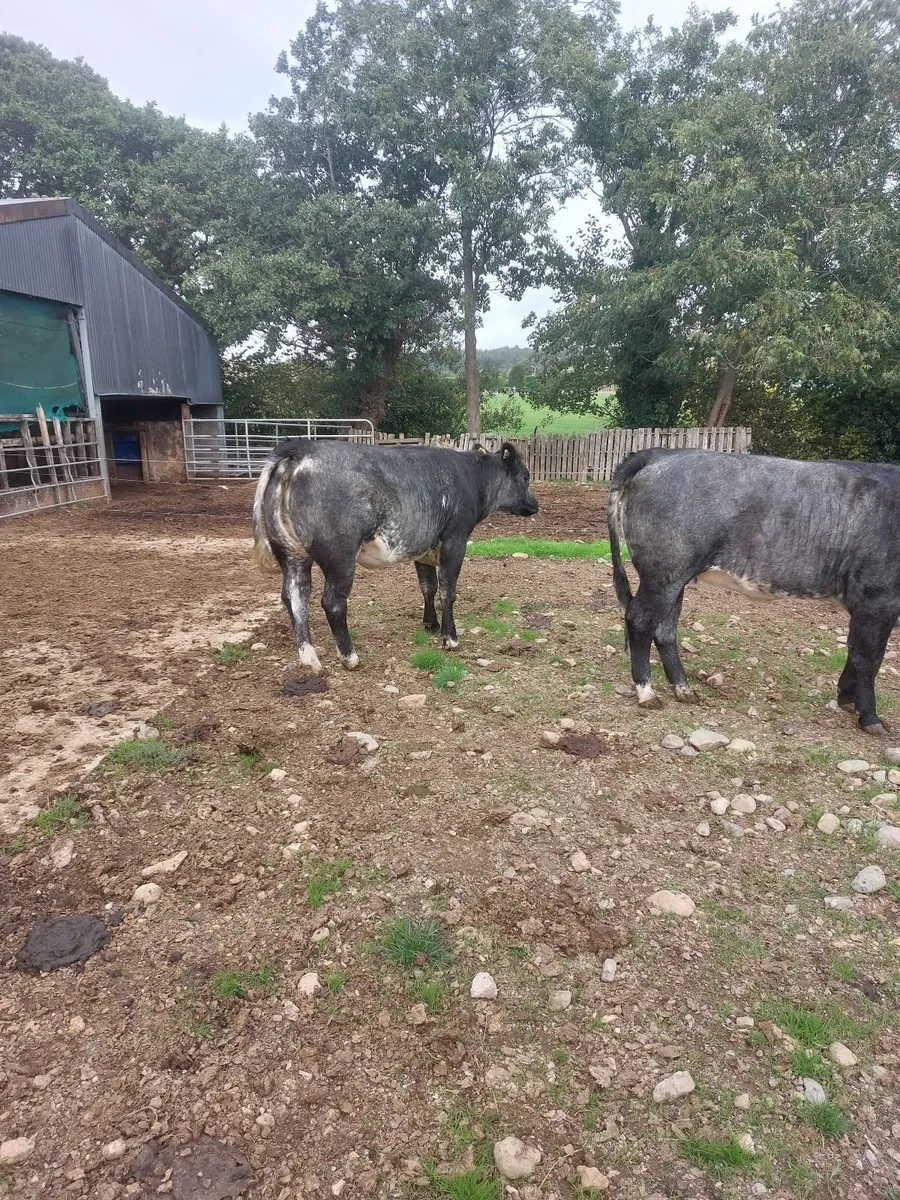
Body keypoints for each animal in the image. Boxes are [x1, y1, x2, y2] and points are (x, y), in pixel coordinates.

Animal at [252, 437, 539, 673]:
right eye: (525, 477)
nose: (535, 505)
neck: (471, 478)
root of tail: (298, 449)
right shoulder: (455, 541)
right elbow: (448, 590)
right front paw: (450, 638)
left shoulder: (423, 548)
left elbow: (428, 587)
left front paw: (431, 625)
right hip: (339, 557)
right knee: (332, 602)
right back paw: (349, 657)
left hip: (292, 554)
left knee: (294, 597)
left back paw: (309, 659)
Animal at [608, 448, 900, 735]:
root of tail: (660, 453)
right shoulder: (878, 598)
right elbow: (869, 659)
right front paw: (870, 718)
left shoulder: (865, 606)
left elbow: (854, 650)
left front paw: (846, 699)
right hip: (663, 573)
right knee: (640, 621)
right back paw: (647, 692)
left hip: (675, 579)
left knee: (665, 629)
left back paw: (684, 689)